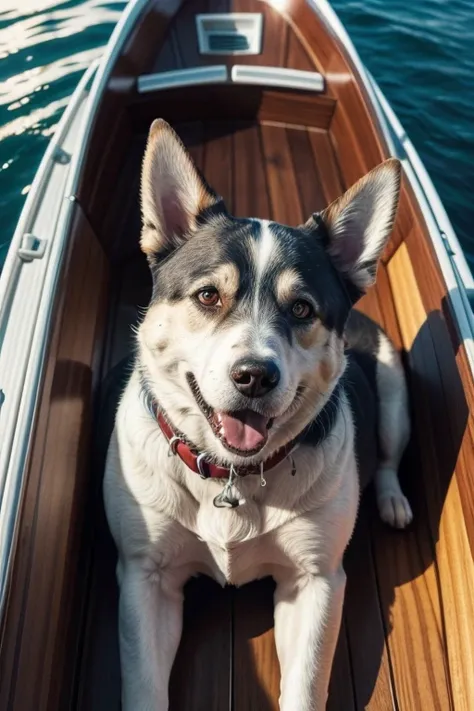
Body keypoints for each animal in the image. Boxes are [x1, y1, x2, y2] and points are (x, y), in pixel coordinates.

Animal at [103, 119, 412, 708]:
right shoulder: (146, 576)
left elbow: (306, 685)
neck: (233, 475)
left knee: (386, 457)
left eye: (303, 308)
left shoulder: (314, 580)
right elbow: (144, 683)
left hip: (393, 391)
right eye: (207, 296)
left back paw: (390, 499)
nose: (254, 375)